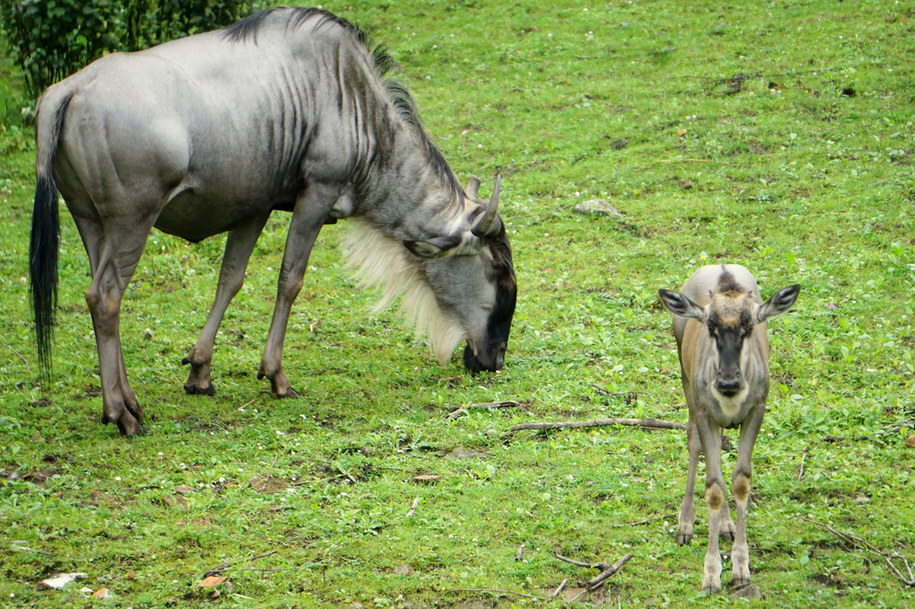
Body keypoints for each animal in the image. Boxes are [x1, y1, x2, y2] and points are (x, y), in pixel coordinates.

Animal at [660, 264, 800, 592]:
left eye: (748, 326)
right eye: (710, 325)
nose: (728, 381)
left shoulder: (757, 411)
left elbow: (739, 481)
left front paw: (740, 568)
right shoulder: (704, 413)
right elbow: (713, 487)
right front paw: (711, 574)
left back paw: (726, 525)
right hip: (687, 386)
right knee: (693, 443)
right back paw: (685, 524)